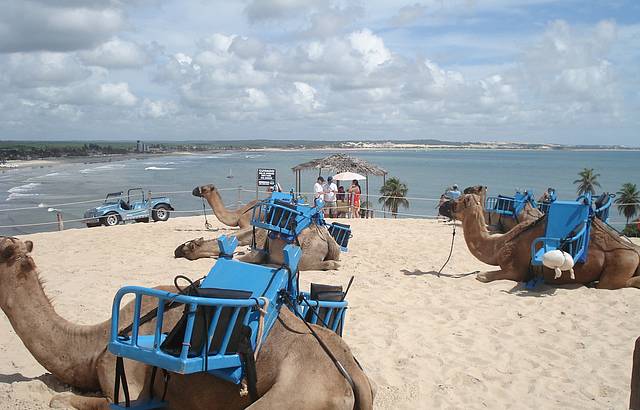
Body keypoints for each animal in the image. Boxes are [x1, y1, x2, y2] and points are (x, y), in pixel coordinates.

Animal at [440, 194, 640, 290]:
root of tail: (635, 251)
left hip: (621, 262)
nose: (441, 205)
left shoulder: (515, 269)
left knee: (611, 284)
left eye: (456, 202)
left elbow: (482, 276)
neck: (499, 246)